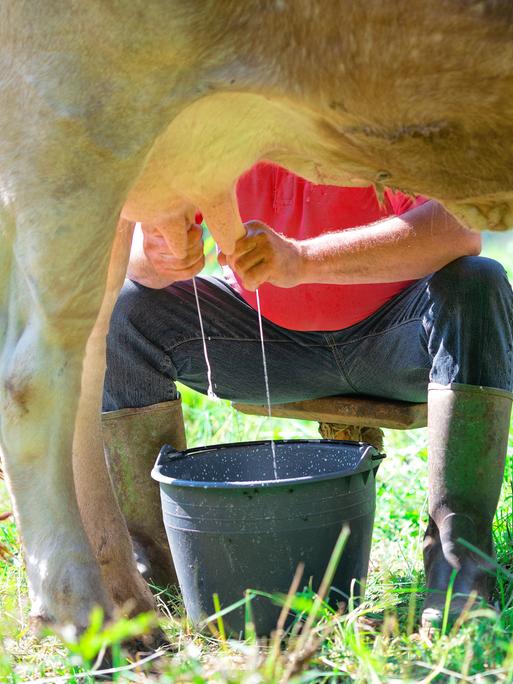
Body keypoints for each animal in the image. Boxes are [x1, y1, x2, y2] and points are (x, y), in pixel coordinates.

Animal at [1, 0, 512, 632]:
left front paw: (272, 258)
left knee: (89, 362)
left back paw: (131, 607)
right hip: (71, 119)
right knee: (35, 381)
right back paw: (92, 621)